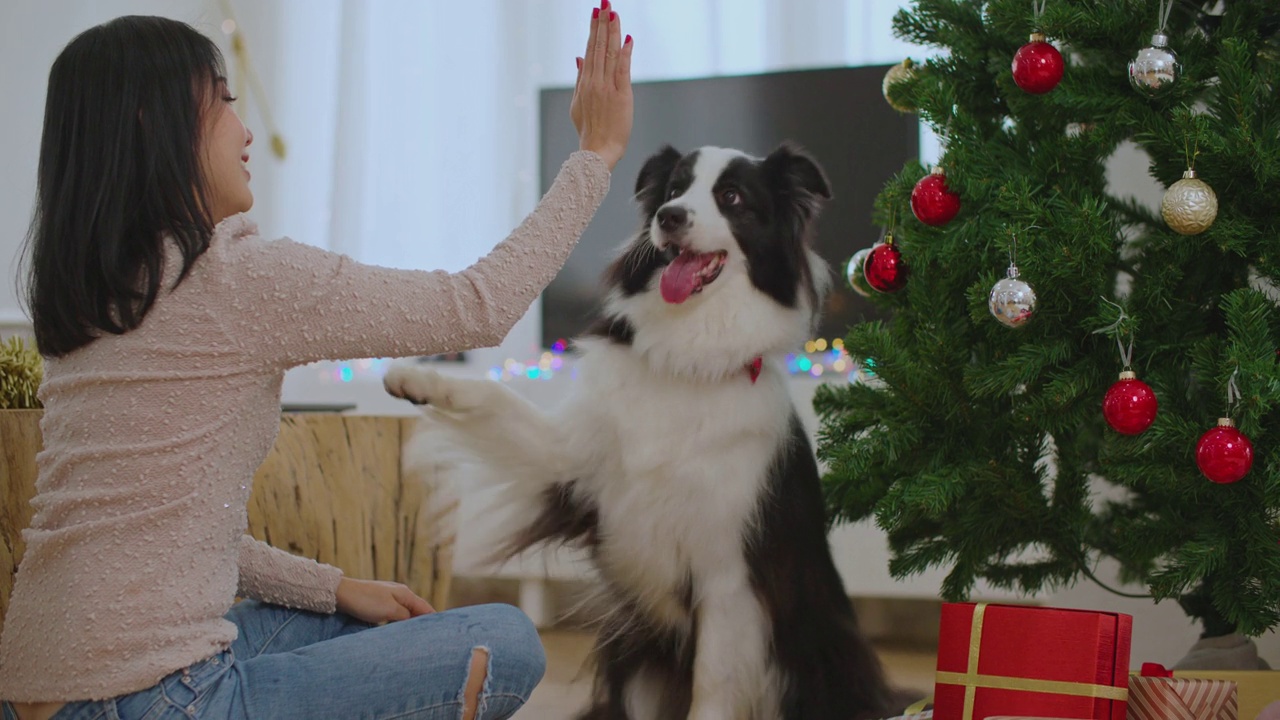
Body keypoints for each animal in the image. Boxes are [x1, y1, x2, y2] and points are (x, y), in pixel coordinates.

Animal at [384, 141, 896, 717]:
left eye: (732, 197)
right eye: (674, 188)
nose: (668, 217)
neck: (688, 358)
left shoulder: (728, 571)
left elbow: (713, 684)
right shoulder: (570, 467)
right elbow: (498, 398)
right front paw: (416, 378)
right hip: (634, 656)